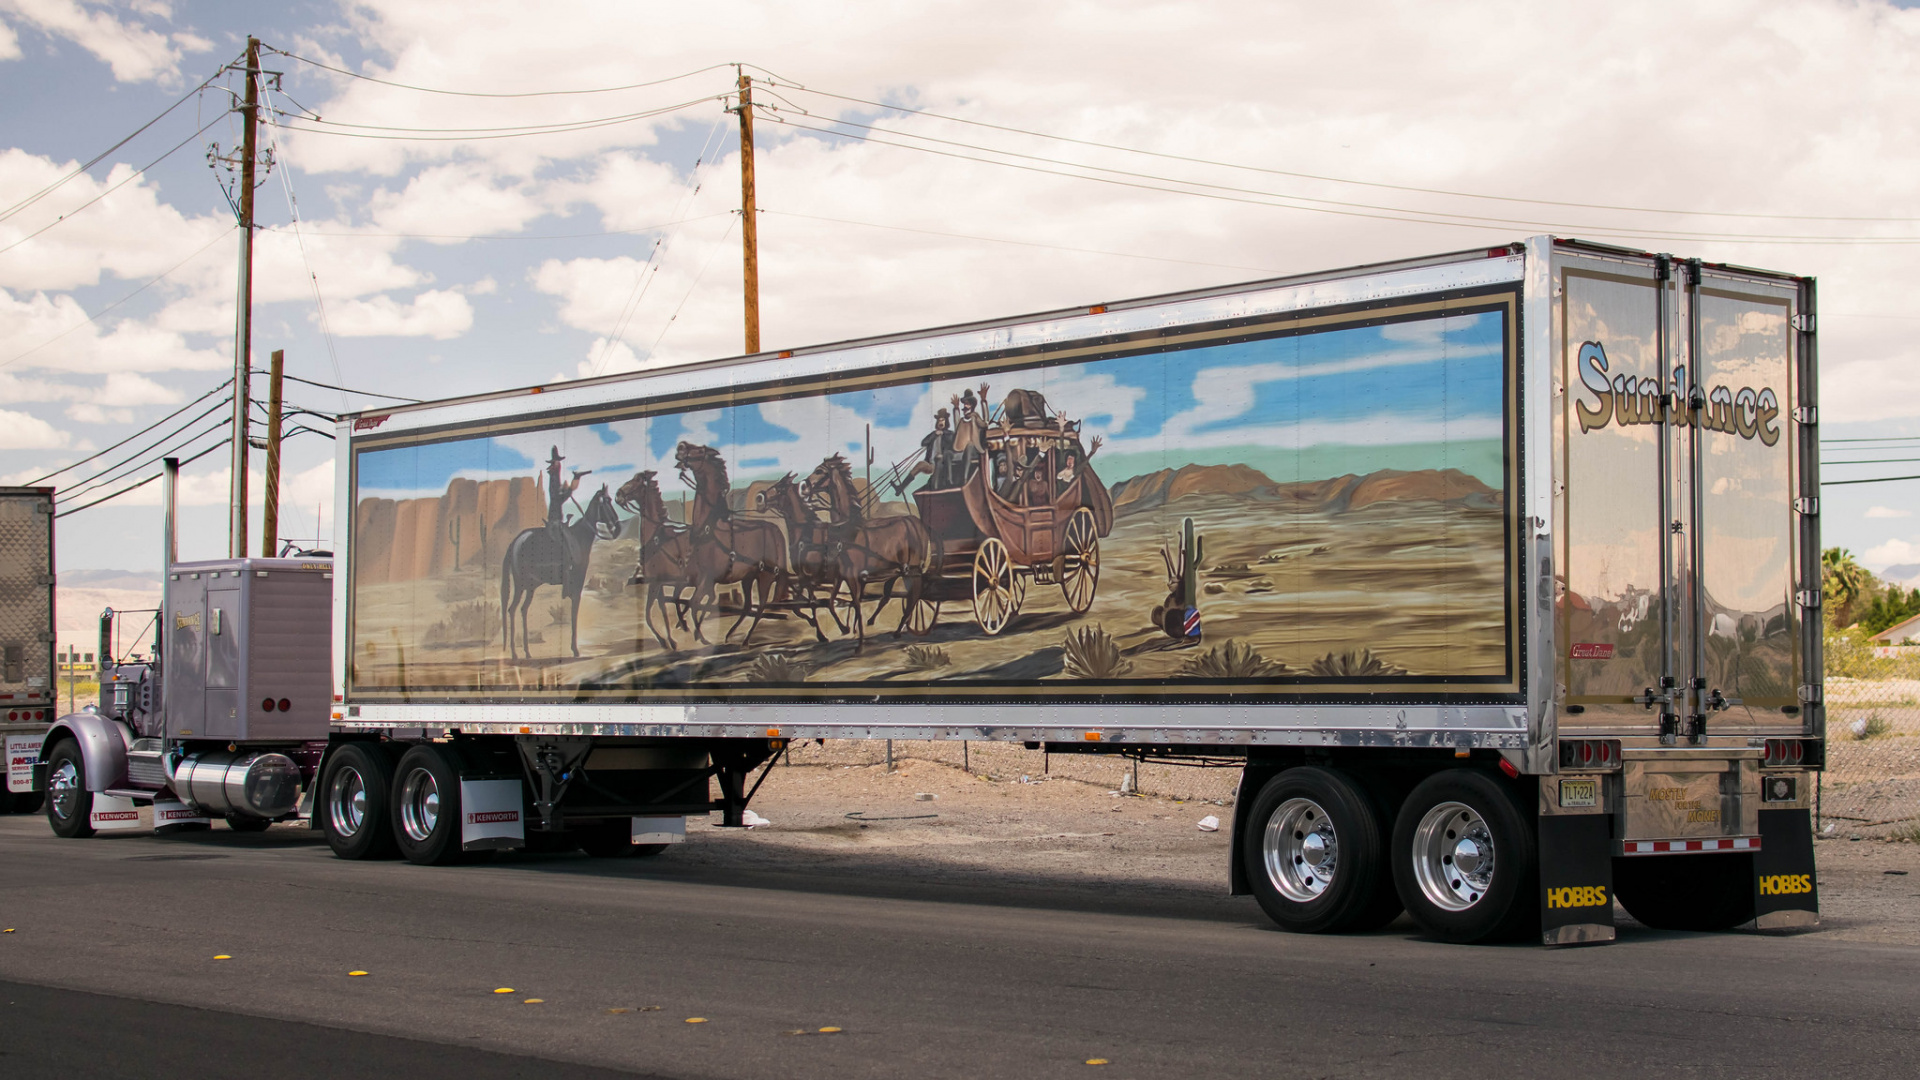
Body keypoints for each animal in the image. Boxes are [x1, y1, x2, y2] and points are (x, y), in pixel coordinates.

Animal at [618, 468, 695, 645]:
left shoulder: (657, 583)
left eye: (637, 480)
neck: (656, 537)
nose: (618, 494)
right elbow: (660, 610)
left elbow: (648, 613)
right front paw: (669, 639)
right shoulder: (658, 584)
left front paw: (666, 640)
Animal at [675, 441, 787, 641]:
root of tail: (775, 530)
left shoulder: (706, 579)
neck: (707, 528)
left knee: (761, 606)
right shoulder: (697, 578)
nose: (680, 446)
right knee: (748, 605)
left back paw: (746, 639)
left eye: (700, 450)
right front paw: (688, 628)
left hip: (764, 576)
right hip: (748, 578)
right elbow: (688, 601)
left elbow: (696, 604)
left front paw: (701, 637)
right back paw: (730, 634)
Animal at [802, 449, 929, 641]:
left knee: (913, 597)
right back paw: (897, 629)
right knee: (904, 597)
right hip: (900, 570)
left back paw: (900, 629)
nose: (803, 486)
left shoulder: (853, 575)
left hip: (912, 570)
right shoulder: (842, 575)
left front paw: (859, 640)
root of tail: (916, 522)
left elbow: (856, 603)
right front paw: (847, 629)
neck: (848, 528)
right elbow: (834, 602)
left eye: (819, 470)